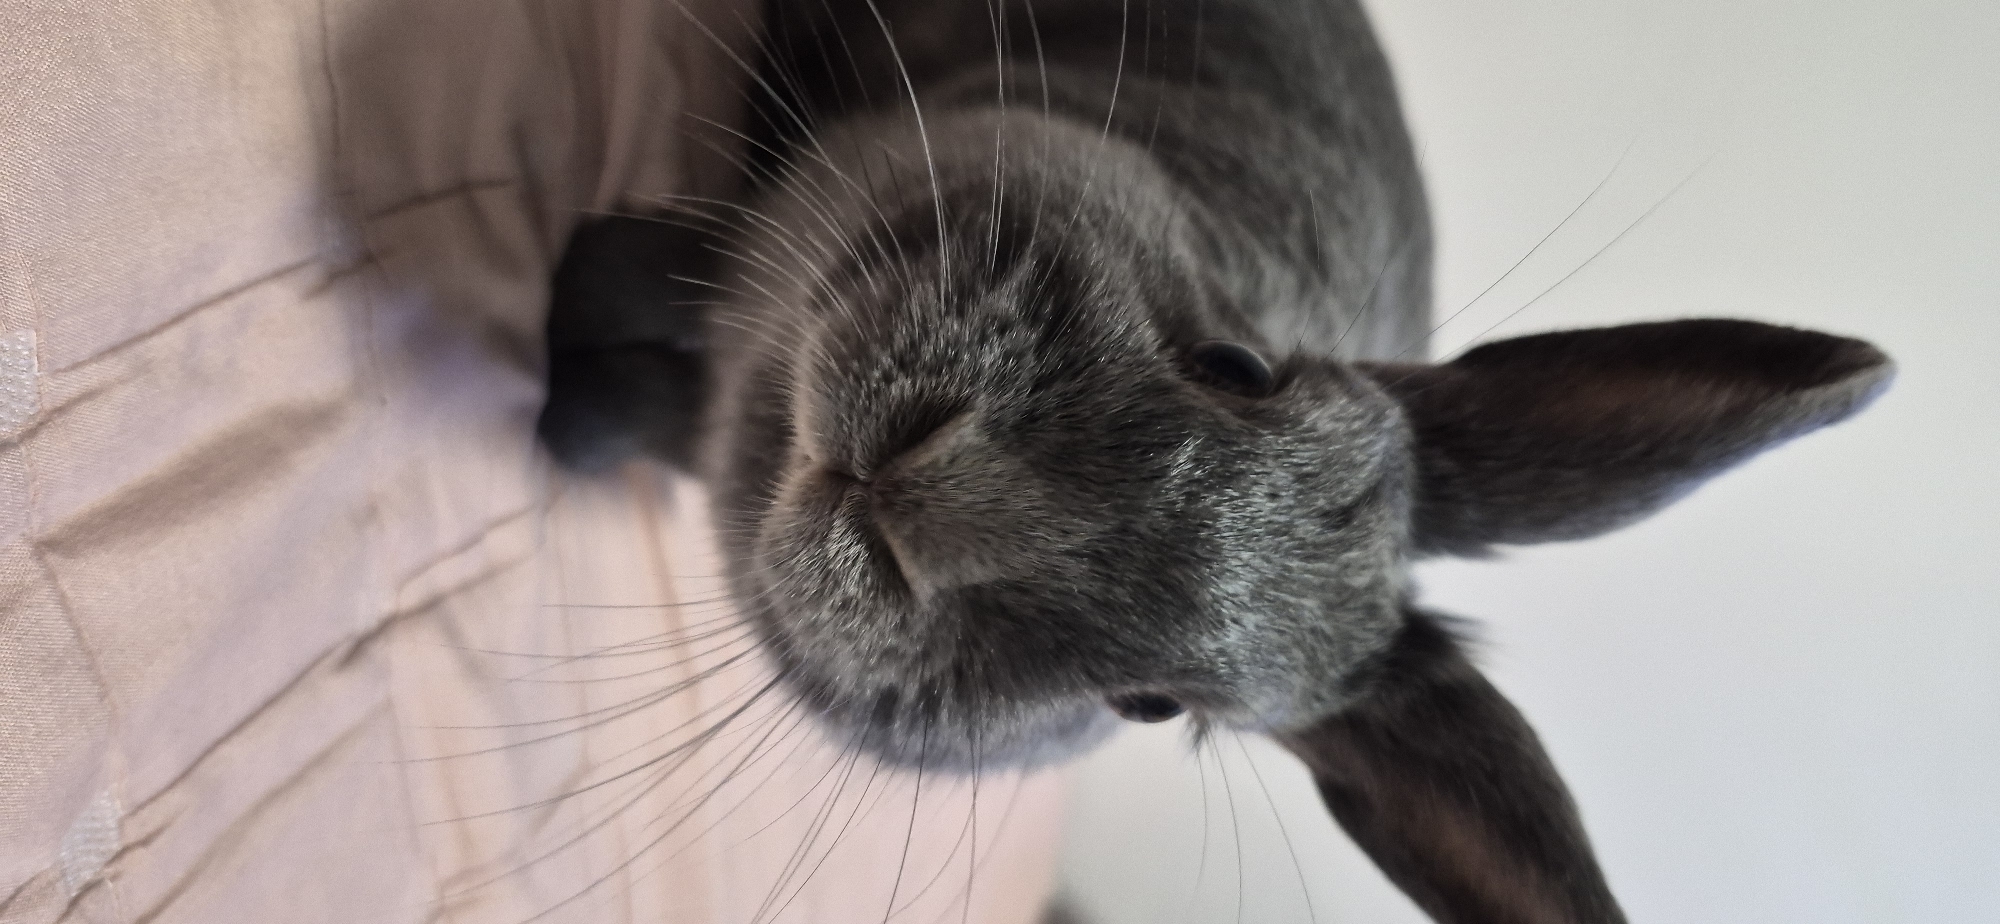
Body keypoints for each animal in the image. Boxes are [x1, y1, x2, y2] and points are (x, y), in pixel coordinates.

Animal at [538, 0, 1895, 919]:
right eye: (1240, 365)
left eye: (1148, 707)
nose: (925, 508)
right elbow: (620, 279)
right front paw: (552, 393)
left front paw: (556, 433)